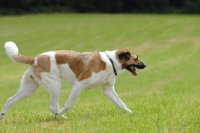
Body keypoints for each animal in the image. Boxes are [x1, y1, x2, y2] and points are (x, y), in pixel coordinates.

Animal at [0, 41, 146, 119]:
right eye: (136, 58)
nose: (145, 65)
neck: (111, 61)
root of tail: (35, 59)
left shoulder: (108, 90)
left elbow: (121, 104)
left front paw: (131, 113)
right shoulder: (78, 84)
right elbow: (69, 104)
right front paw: (60, 115)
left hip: (29, 89)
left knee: (10, 100)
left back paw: (2, 116)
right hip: (55, 86)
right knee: (53, 106)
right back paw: (60, 117)